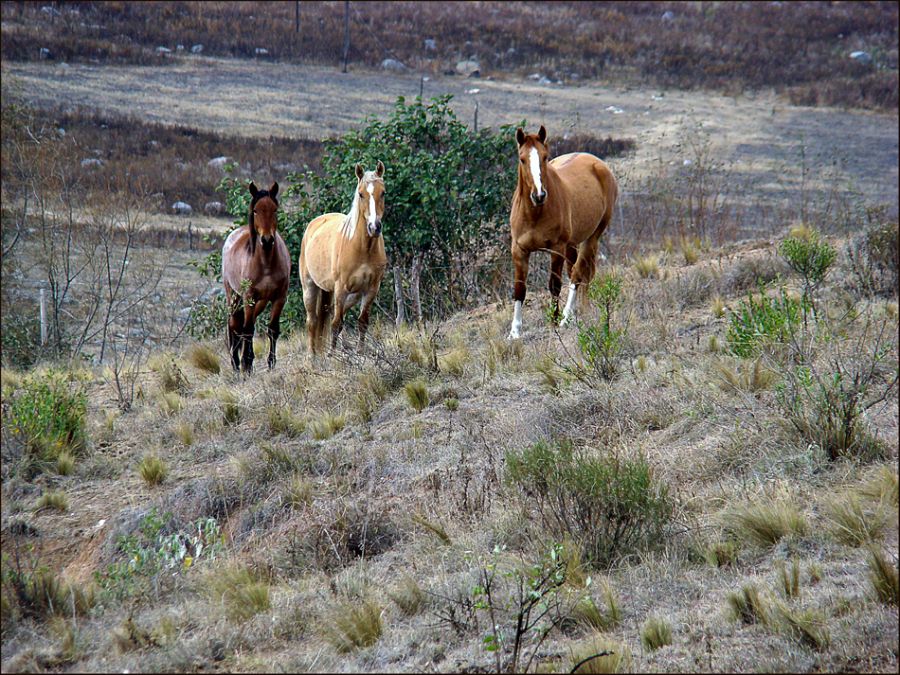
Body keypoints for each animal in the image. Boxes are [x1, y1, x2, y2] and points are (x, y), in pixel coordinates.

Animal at [220, 182, 290, 372]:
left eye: (274, 209)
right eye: (256, 210)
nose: (266, 240)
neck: (266, 263)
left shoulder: (279, 298)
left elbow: (273, 329)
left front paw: (271, 363)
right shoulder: (248, 297)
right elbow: (248, 330)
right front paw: (246, 363)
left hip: (260, 301)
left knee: (244, 324)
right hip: (234, 296)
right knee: (235, 325)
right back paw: (237, 363)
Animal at [300, 162, 388, 356]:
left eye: (383, 192)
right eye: (361, 194)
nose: (374, 227)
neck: (362, 248)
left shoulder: (371, 289)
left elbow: (362, 322)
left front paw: (360, 352)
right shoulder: (341, 288)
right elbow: (336, 324)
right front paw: (332, 355)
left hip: (351, 295)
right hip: (310, 287)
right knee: (312, 321)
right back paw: (312, 356)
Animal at [506, 125, 620, 340]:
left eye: (544, 157)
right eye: (522, 159)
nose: (539, 195)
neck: (535, 213)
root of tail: (597, 163)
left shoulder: (556, 249)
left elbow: (555, 284)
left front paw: (554, 320)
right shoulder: (519, 251)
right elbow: (519, 288)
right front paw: (514, 331)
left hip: (591, 237)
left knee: (577, 273)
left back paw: (568, 316)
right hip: (572, 244)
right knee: (577, 272)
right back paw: (577, 312)